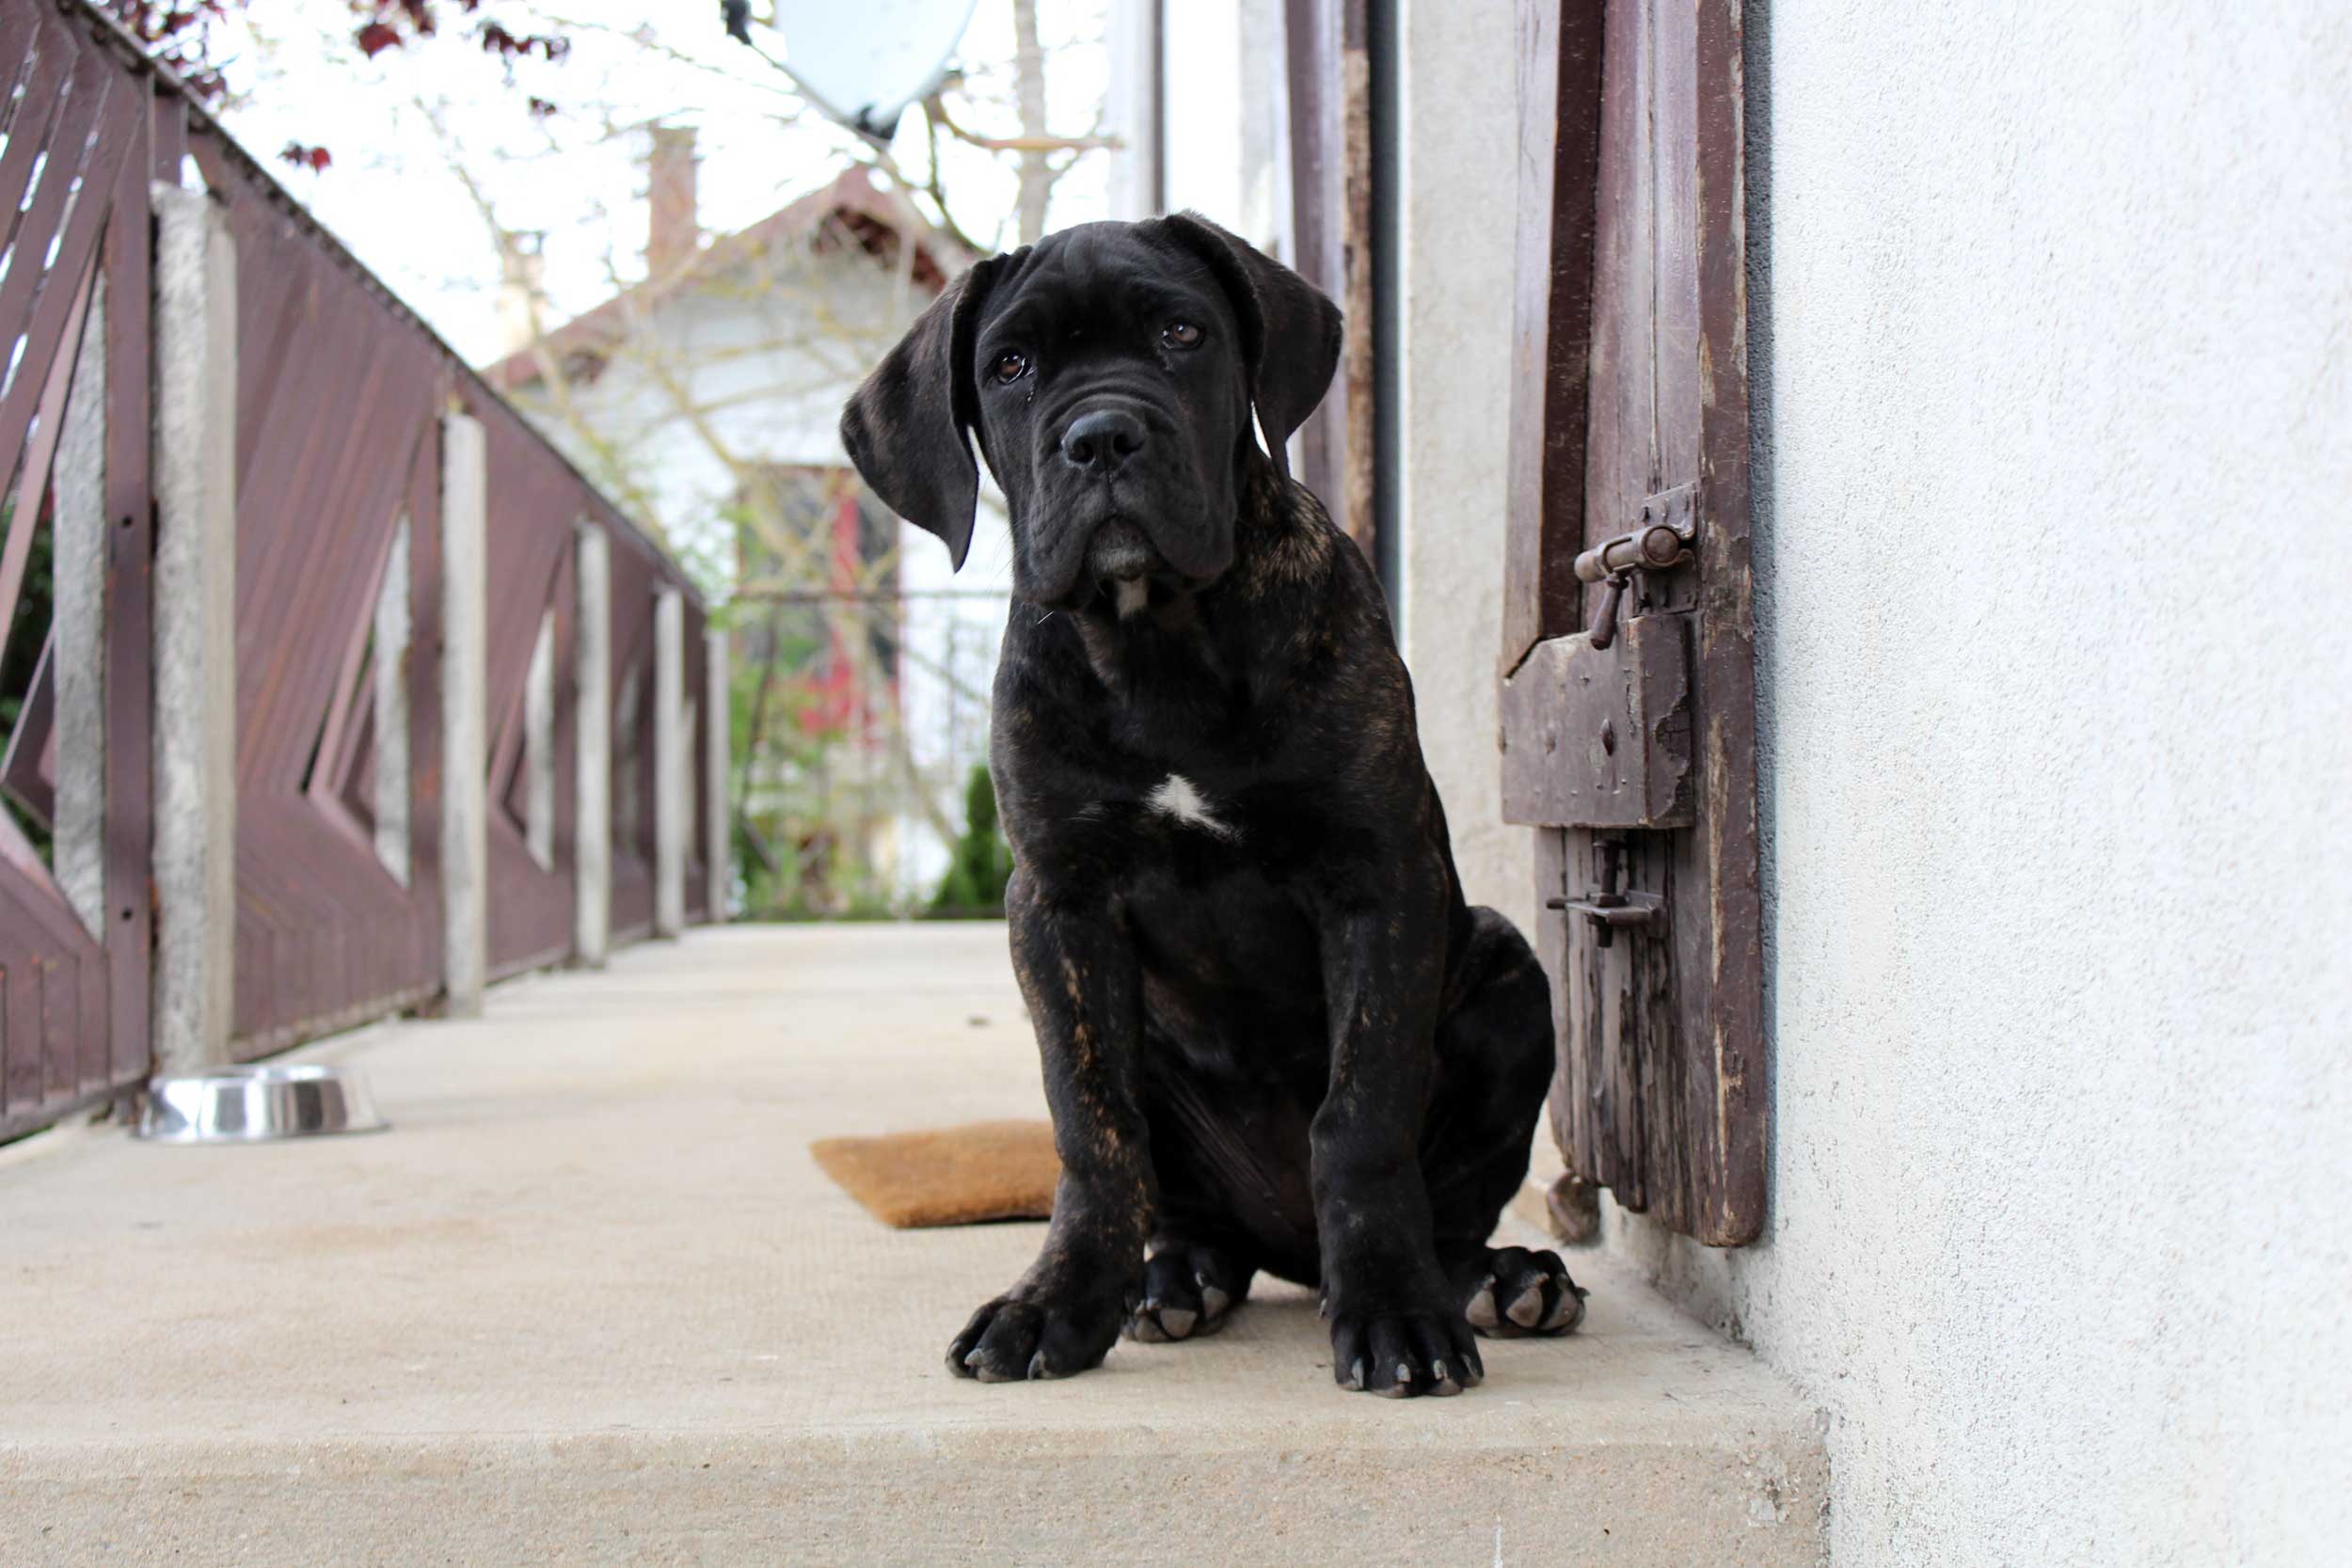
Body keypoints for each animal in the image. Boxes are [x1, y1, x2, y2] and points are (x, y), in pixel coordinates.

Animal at [837, 208, 1590, 1401]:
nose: (1100, 437)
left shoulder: (1377, 880)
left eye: (1181, 333)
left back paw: (1499, 1278)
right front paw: (1056, 1302)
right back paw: (1171, 1280)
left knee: (1450, 1210)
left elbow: (1360, 1110)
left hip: (1506, 966)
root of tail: (1288, 1248)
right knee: (1186, 1209)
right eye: (1010, 366)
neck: (1160, 639)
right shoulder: (1057, 903)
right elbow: (1091, 1127)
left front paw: (1394, 1310)